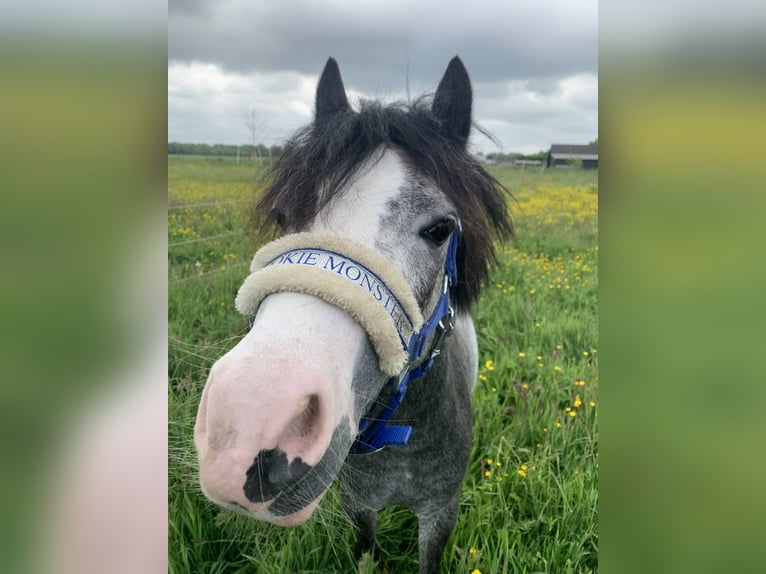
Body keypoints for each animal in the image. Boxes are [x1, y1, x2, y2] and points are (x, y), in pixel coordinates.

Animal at [194, 56, 512, 573]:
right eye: (283, 217)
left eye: (441, 228)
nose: (245, 423)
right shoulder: (359, 505)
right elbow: (366, 552)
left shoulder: (440, 514)